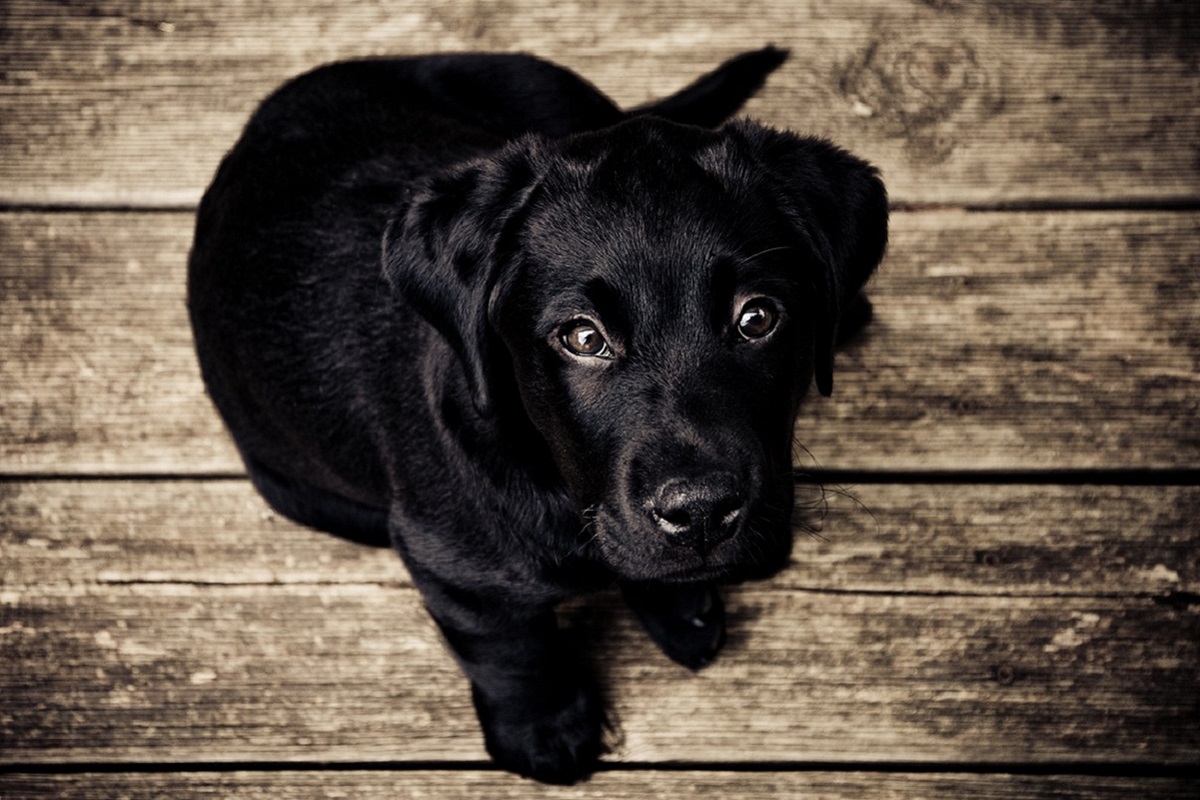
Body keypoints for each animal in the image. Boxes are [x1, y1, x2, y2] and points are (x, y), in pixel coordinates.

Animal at [184, 47, 883, 786]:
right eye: (582, 337)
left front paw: (677, 604)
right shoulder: (451, 566)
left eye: (757, 319)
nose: (700, 514)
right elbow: (510, 649)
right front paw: (544, 729)